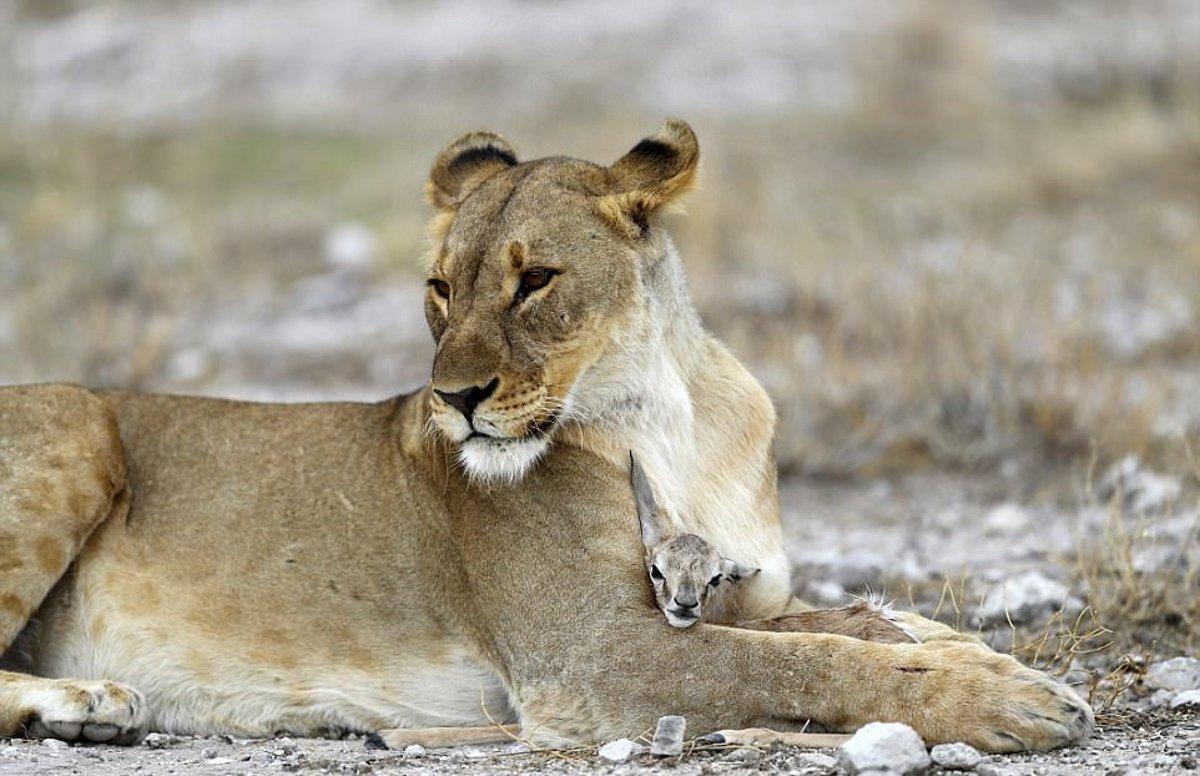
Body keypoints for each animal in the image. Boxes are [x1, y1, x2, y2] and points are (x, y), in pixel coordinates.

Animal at [0, 119, 1092, 753]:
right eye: (441, 288)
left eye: (535, 280)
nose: (454, 398)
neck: (672, 412)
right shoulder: (596, 656)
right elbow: (802, 662)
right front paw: (1011, 700)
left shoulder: (719, 597)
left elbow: (832, 624)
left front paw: (962, 646)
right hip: (76, 421)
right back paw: (87, 699)